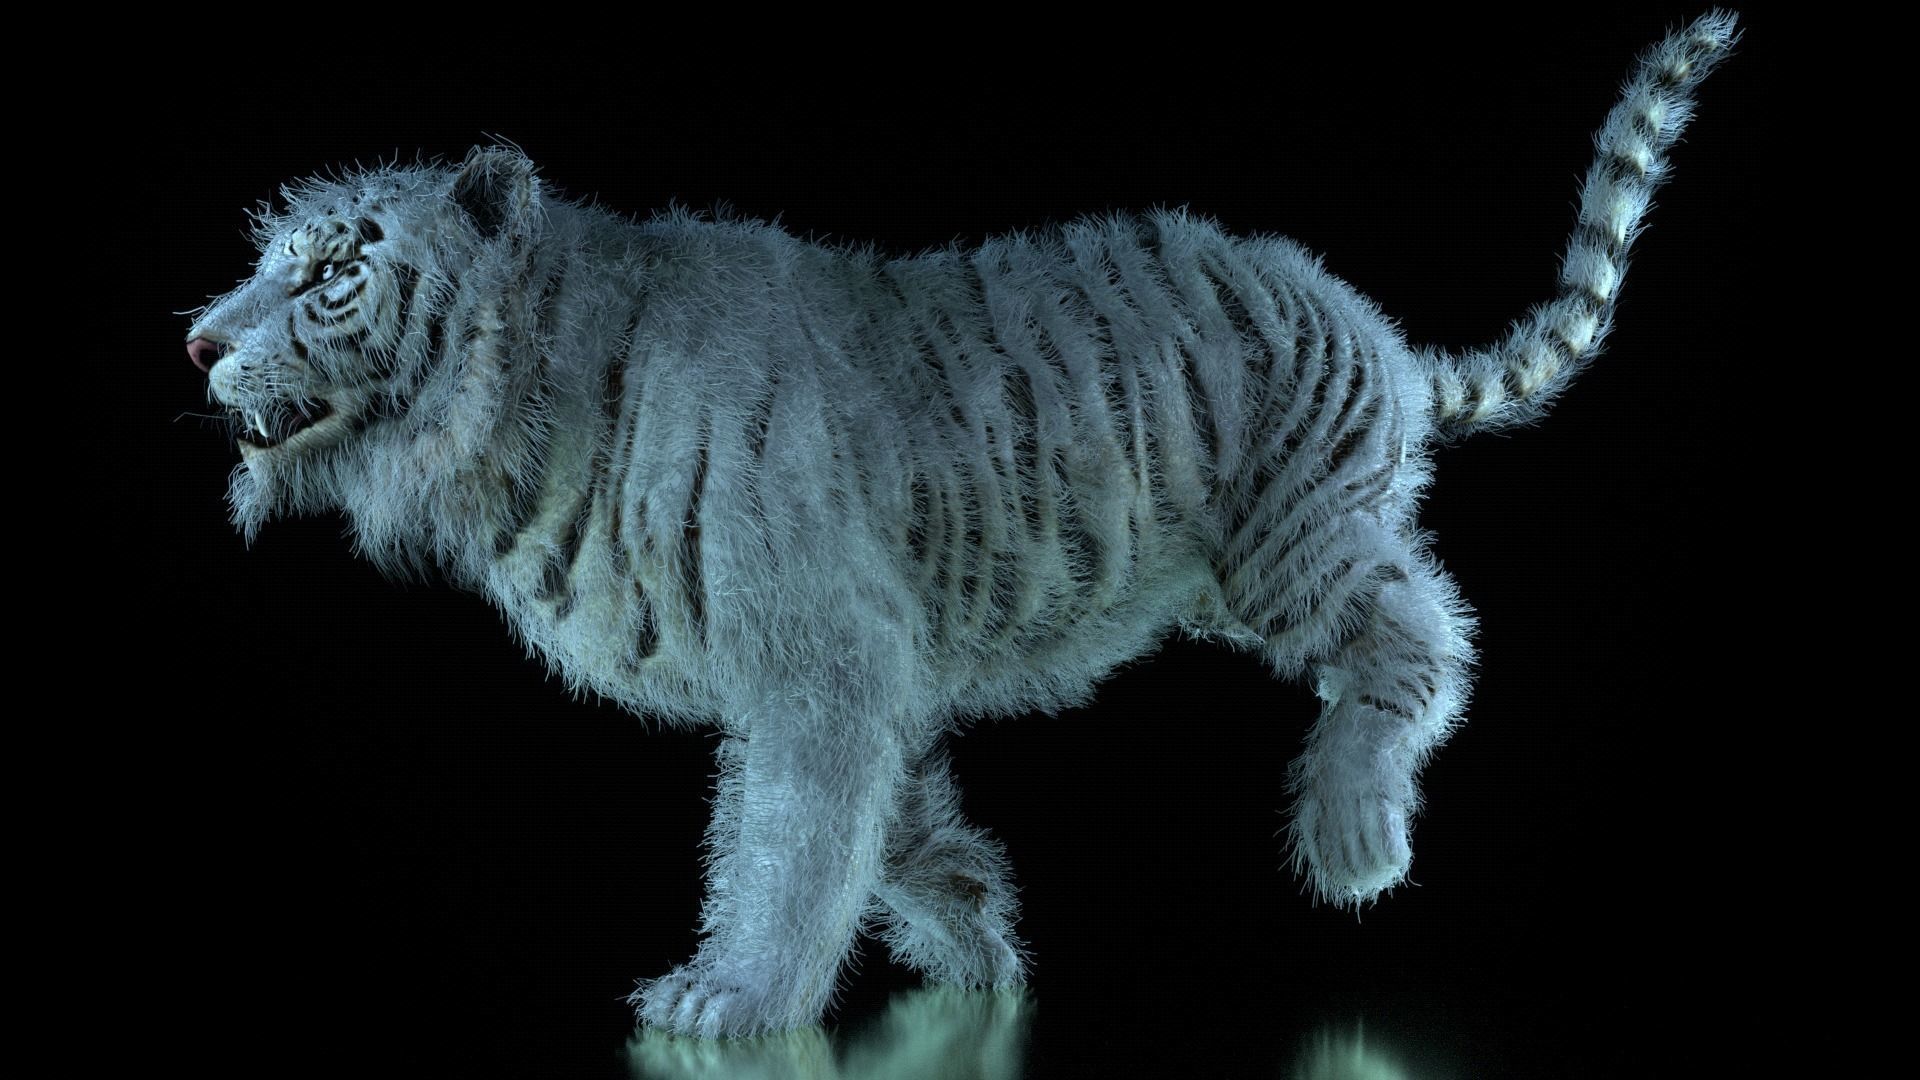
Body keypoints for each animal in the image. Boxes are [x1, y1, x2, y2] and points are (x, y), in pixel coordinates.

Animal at [182, 12, 1738, 1038]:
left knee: (1422, 630)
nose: (196, 342)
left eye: (326, 275)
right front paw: (977, 938)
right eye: (264, 263)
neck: (519, 405)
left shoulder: (821, 655)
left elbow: (790, 841)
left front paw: (730, 996)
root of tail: (1378, 330)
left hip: (1289, 548)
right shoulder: (855, 663)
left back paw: (1355, 834)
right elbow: (880, 819)